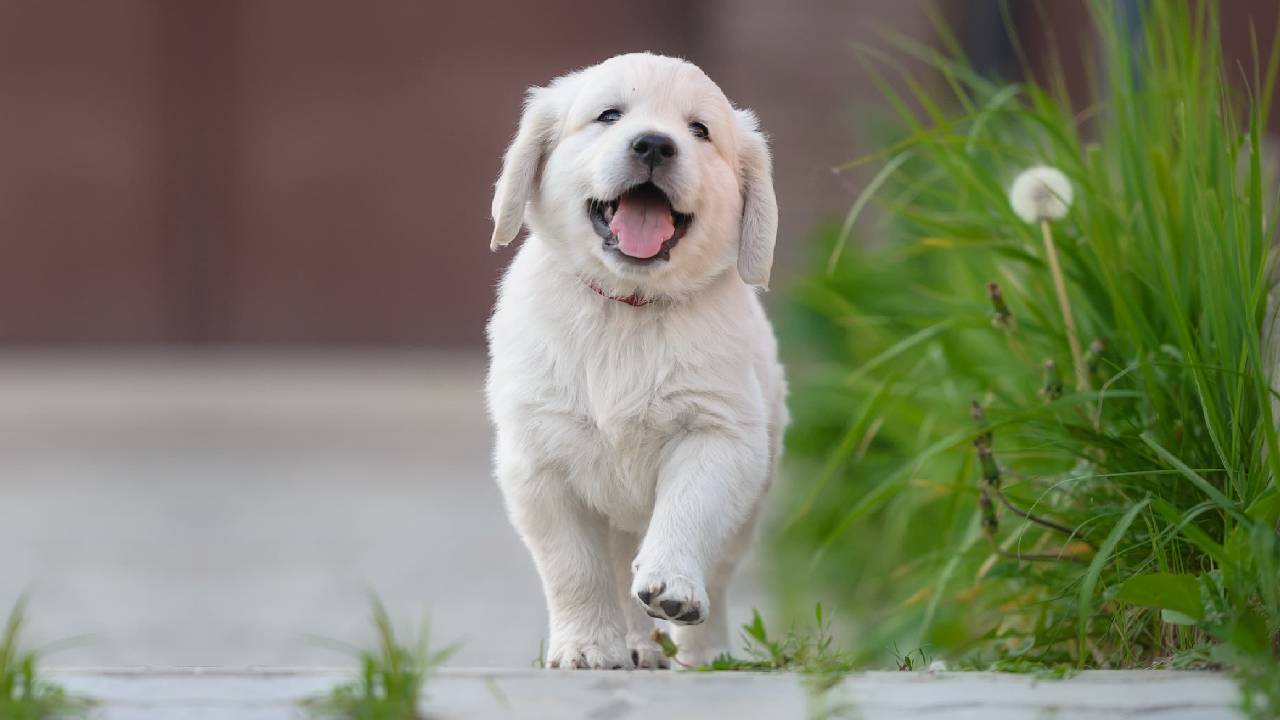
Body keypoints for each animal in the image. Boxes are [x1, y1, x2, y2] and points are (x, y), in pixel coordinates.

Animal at [483, 51, 783, 666]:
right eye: (609, 115)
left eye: (699, 130)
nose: (654, 145)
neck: (627, 307)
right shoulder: (538, 462)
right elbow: (574, 568)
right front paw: (587, 647)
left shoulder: (719, 436)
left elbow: (687, 511)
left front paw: (673, 586)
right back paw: (633, 645)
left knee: (714, 575)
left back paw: (703, 653)